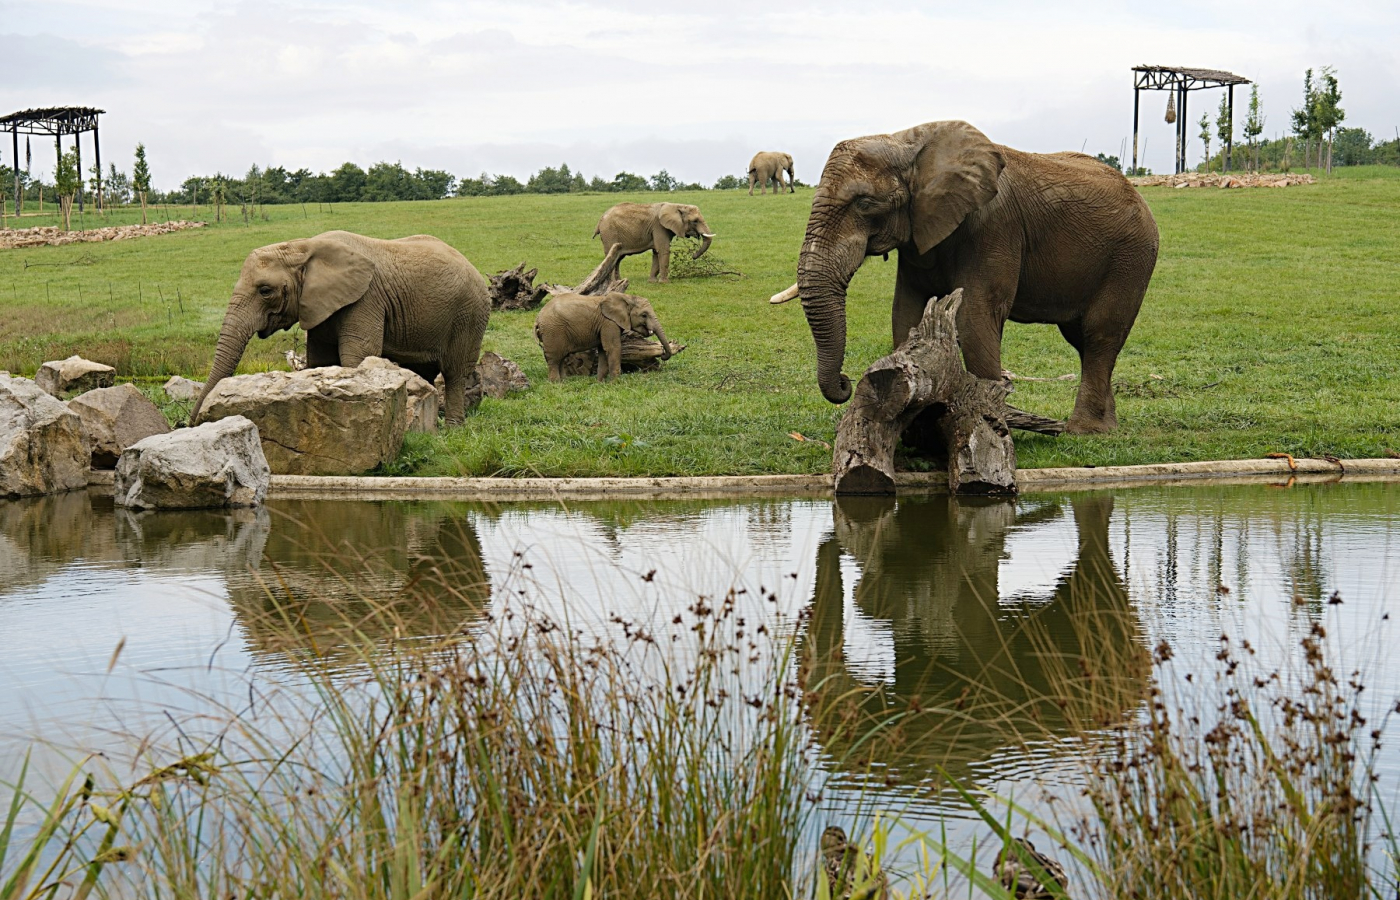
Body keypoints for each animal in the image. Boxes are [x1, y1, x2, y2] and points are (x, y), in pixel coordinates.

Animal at [189, 232, 490, 428]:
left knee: (454, 371)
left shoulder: (366, 297)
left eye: (265, 291)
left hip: (469, 314)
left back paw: (451, 427)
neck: (302, 247)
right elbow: (322, 360)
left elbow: (357, 356)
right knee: (422, 370)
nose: (191, 423)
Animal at [532, 293, 669, 380]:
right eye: (644, 315)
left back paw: (563, 382)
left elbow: (603, 350)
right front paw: (616, 382)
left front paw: (601, 382)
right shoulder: (609, 323)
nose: (663, 355)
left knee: (560, 358)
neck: (627, 297)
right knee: (554, 359)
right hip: (553, 331)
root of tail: (538, 319)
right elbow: (613, 348)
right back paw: (556, 384)